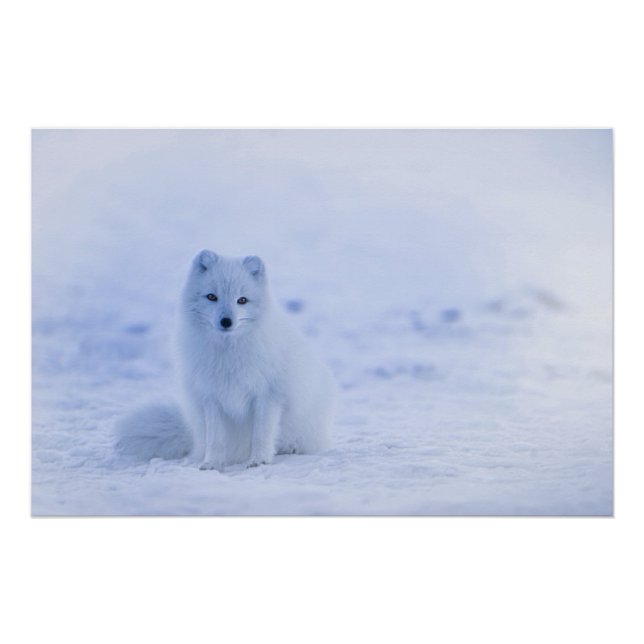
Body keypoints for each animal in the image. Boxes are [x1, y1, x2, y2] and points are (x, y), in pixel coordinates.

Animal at [115, 250, 335, 471]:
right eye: (212, 297)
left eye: (242, 300)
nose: (226, 321)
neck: (228, 353)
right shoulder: (211, 397)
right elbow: (216, 439)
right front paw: (211, 464)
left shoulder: (268, 395)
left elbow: (261, 434)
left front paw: (259, 460)